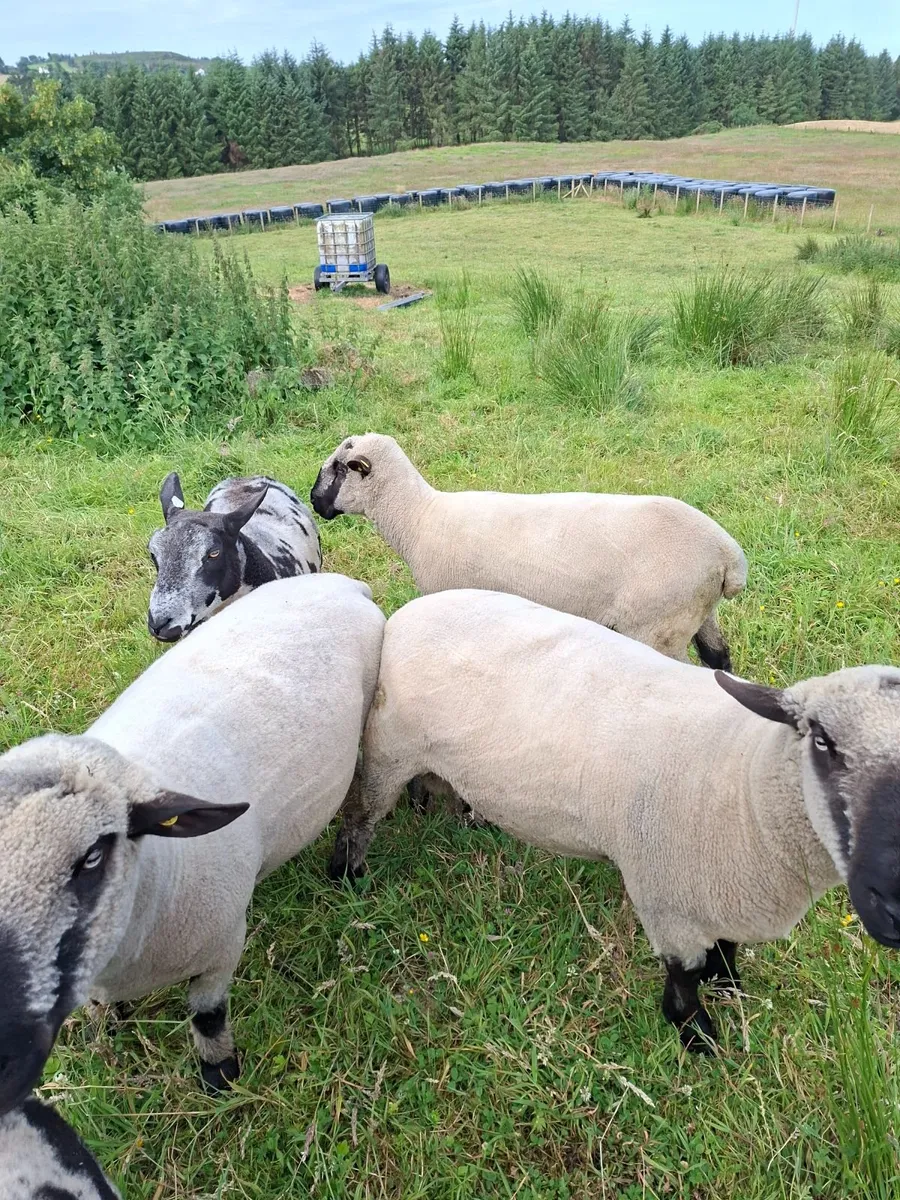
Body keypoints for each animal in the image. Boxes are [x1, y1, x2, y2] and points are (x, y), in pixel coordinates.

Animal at [0, 573, 385, 1112]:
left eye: (94, 855)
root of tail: (343, 583)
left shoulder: (221, 947)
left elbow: (208, 1017)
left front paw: (219, 1077)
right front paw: (106, 1032)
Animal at [311, 433, 746, 668]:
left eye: (338, 468)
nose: (314, 502)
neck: (418, 517)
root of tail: (728, 556)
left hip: (657, 627)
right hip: (693, 613)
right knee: (719, 660)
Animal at [329, 588, 900, 1053]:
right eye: (821, 740)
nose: (889, 902)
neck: (743, 778)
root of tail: (407, 614)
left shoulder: (721, 885)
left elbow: (724, 947)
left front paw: (729, 985)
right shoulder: (666, 895)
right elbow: (685, 974)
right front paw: (696, 1035)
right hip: (387, 749)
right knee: (359, 817)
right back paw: (347, 879)